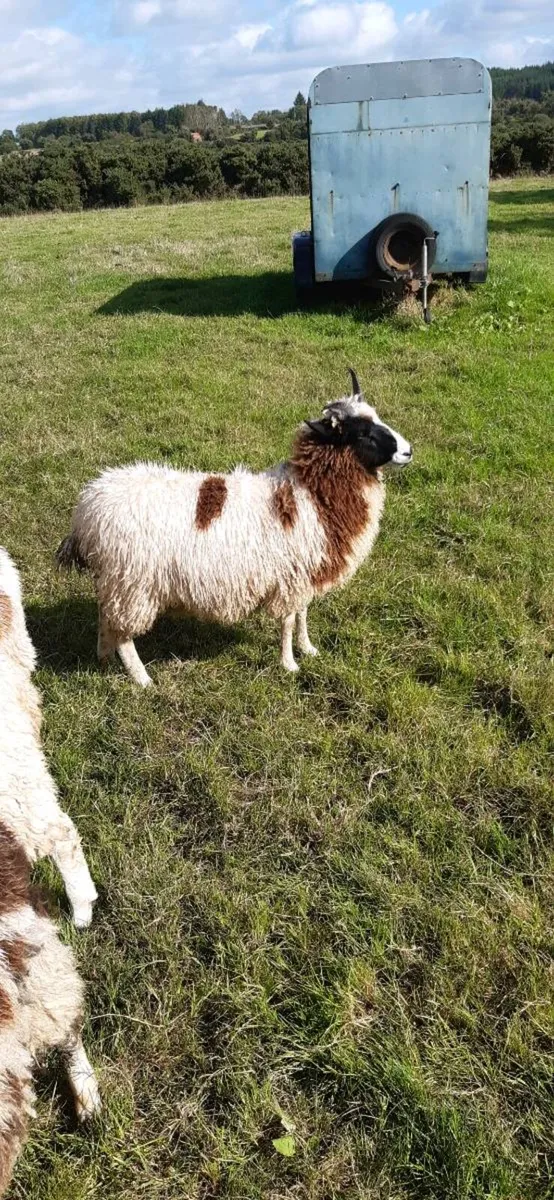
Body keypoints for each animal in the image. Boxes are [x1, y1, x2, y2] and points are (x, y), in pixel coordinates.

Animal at [56, 370, 412, 686]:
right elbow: (287, 621)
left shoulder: (305, 572)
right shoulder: (291, 576)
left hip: (116, 581)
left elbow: (302, 614)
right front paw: (289, 664)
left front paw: (308, 649)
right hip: (133, 584)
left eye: (377, 418)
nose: (408, 451)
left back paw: (103, 659)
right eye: (362, 433)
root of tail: (86, 510)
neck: (312, 492)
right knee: (124, 636)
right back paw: (142, 679)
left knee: (105, 618)